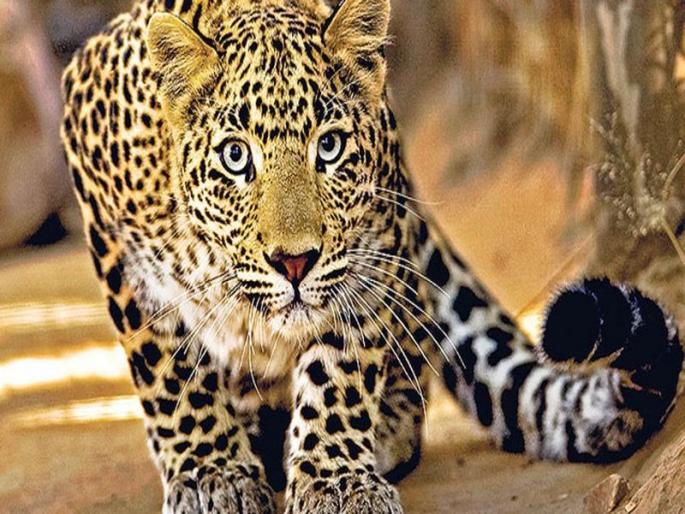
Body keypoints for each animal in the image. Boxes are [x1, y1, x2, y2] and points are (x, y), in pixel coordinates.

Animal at [61, 0, 684, 512]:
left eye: (330, 147)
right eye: (236, 158)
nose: (294, 263)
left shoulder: (371, 252)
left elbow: (338, 370)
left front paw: (335, 482)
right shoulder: (115, 232)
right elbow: (169, 370)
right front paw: (212, 476)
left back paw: (378, 431)